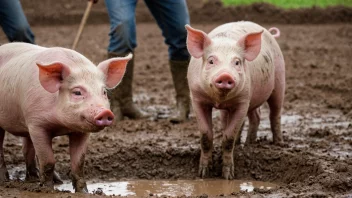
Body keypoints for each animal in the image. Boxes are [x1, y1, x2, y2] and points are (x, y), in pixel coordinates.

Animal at [0, 42, 132, 193]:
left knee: (27, 150)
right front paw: (48, 190)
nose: (105, 112)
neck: (61, 126)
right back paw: (5, 180)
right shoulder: (36, 124)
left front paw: (83, 192)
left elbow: (78, 162)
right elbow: (48, 161)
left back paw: (34, 179)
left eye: (104, 92)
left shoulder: (81, 131)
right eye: (77, 92)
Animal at [186, 21, 284, 179]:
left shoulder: (242, 102)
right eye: (211, 61)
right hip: (251, 99)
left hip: (280, 80)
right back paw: (247, 143)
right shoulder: (197, 99)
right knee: (255, 116)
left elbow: (228, 138)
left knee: (275, 113)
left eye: (237, 62)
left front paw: (228, 176)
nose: (225, 75)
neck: (219, 99)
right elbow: (206, 136)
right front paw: (203, 174)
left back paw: (278, 144)